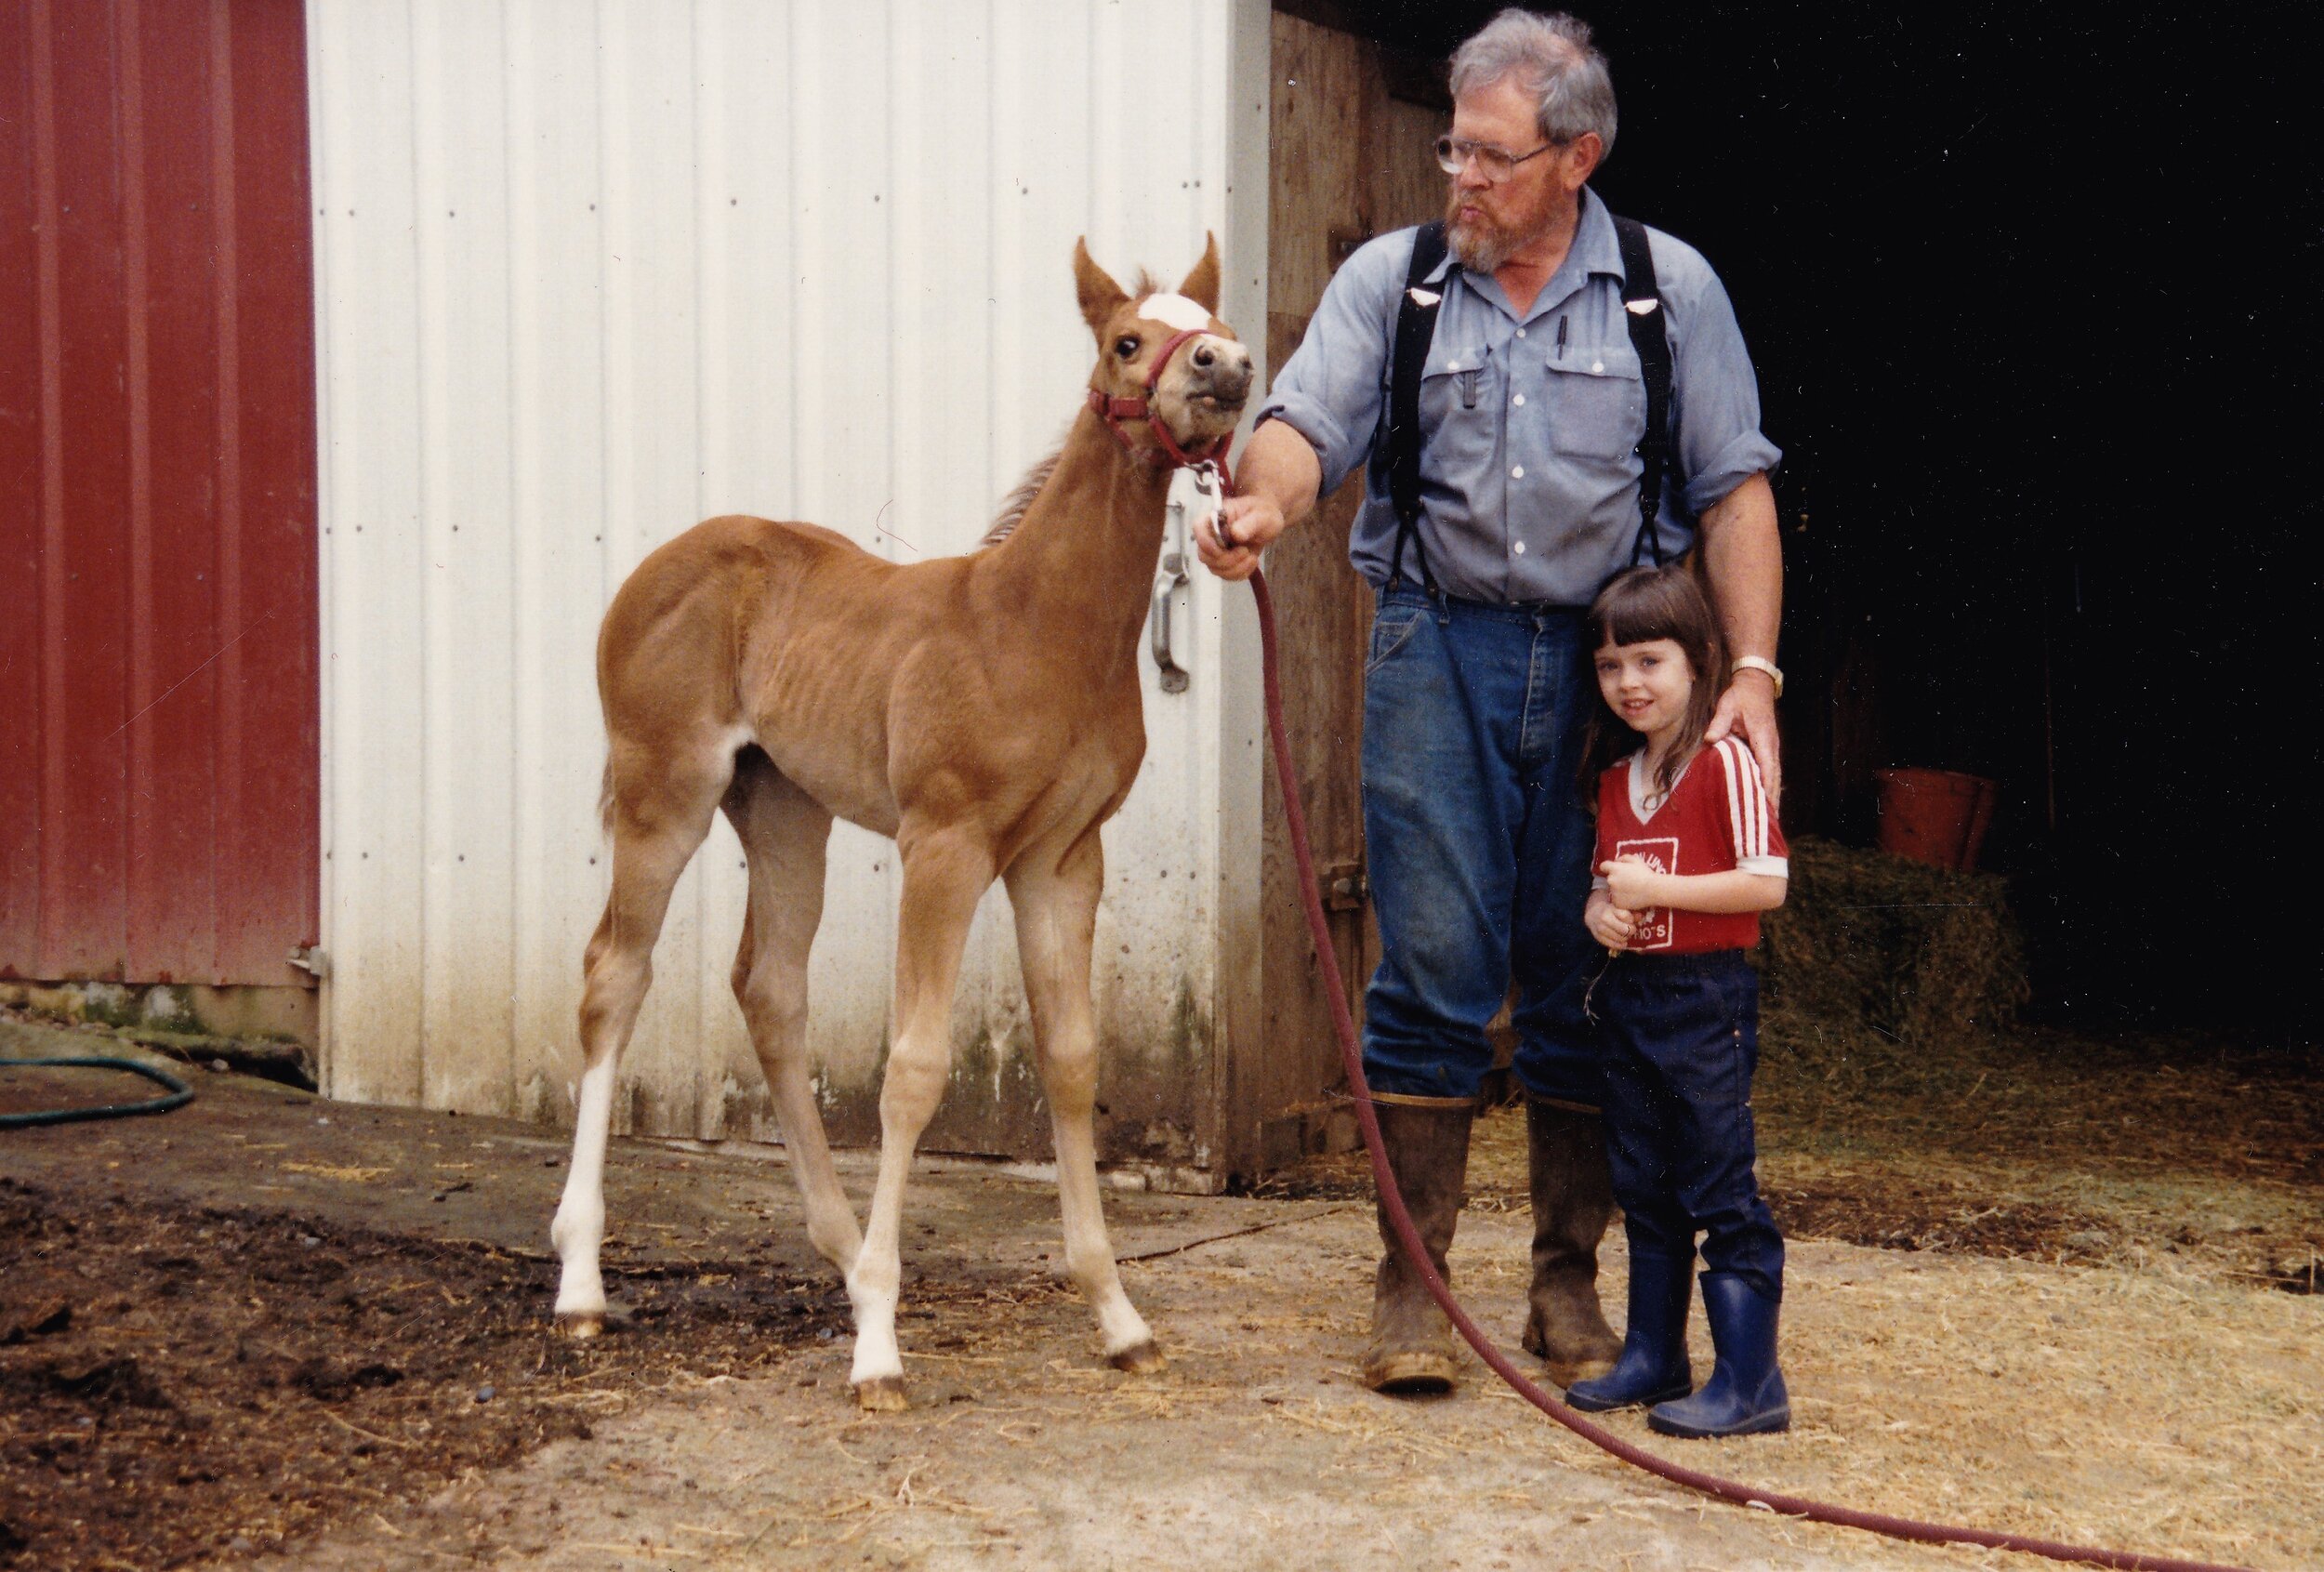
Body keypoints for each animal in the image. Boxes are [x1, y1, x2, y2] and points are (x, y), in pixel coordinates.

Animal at [546, 237, 1254, 1411]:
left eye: (1221, 323)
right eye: (1127, 340)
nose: (1226, 369)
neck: (1037, 625)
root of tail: (650, 571)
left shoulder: (1062, 859)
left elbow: (1072, 1059)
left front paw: (1116, 1315)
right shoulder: (946, 845)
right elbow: (914, 1067)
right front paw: (880, 1343)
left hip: (784, 809)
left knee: (767, 988)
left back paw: (837, 1248)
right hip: (664, 796)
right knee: (614, 977)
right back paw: (581, 1282)